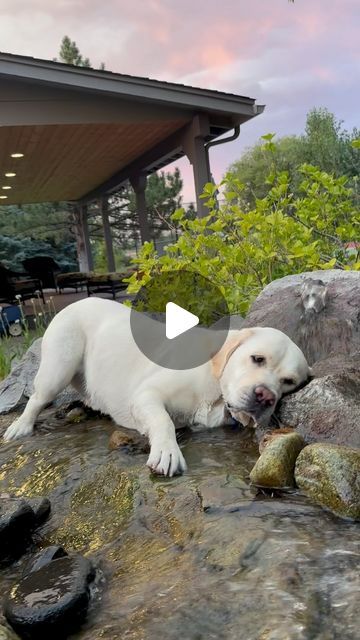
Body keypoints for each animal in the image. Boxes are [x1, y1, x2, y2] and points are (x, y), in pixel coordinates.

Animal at [2, 298, 310, 472]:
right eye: (257, 358)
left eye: (289, 382)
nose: (265, 396)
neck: (215, 390)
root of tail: (74, 302)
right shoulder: (145, 396)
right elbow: (164, 421)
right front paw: (167, 452)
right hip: (58, 367)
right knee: (37, 398)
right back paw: (20, 427)